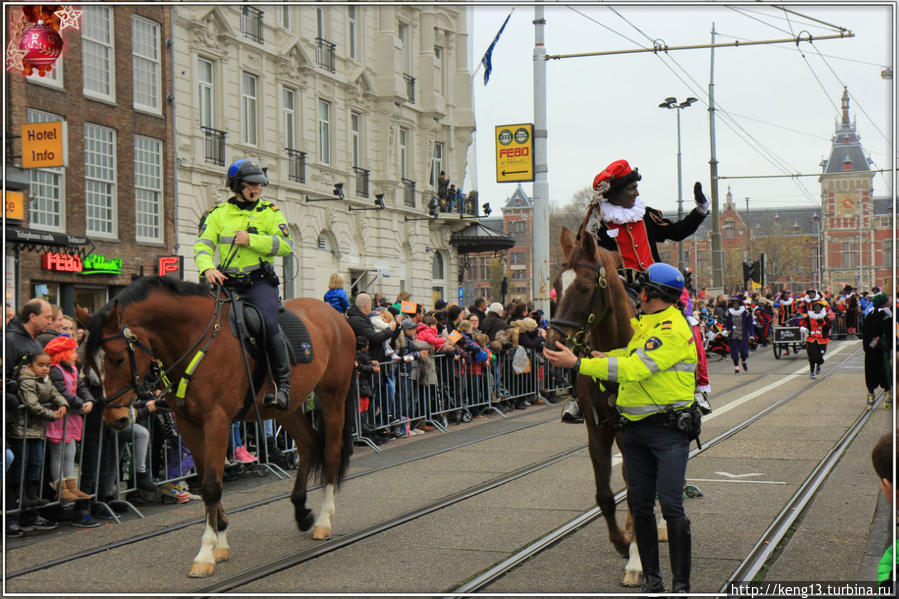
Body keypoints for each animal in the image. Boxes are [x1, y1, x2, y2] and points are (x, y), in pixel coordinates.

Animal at [84, 278, 356, 580]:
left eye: (118, 359)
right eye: (90, 365)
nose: (116, 419)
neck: (194, 339)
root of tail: (335, 316)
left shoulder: (216, 420)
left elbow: (212, 485)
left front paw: (205, 553)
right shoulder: (188, 424)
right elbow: (205, 480)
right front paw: (220, 541)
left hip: (333, 396)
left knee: (331, 452)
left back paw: (323, 521)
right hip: (284, 408)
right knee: (309, 443)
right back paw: (301, 511)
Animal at [544, 226, 644, 584]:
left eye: (585, 287)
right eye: (556, 286)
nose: (552, 345)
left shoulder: (634, 434)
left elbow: (636, 488)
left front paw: (636, 561)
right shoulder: (597, 431)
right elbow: (605, 495)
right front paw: (622, 542)